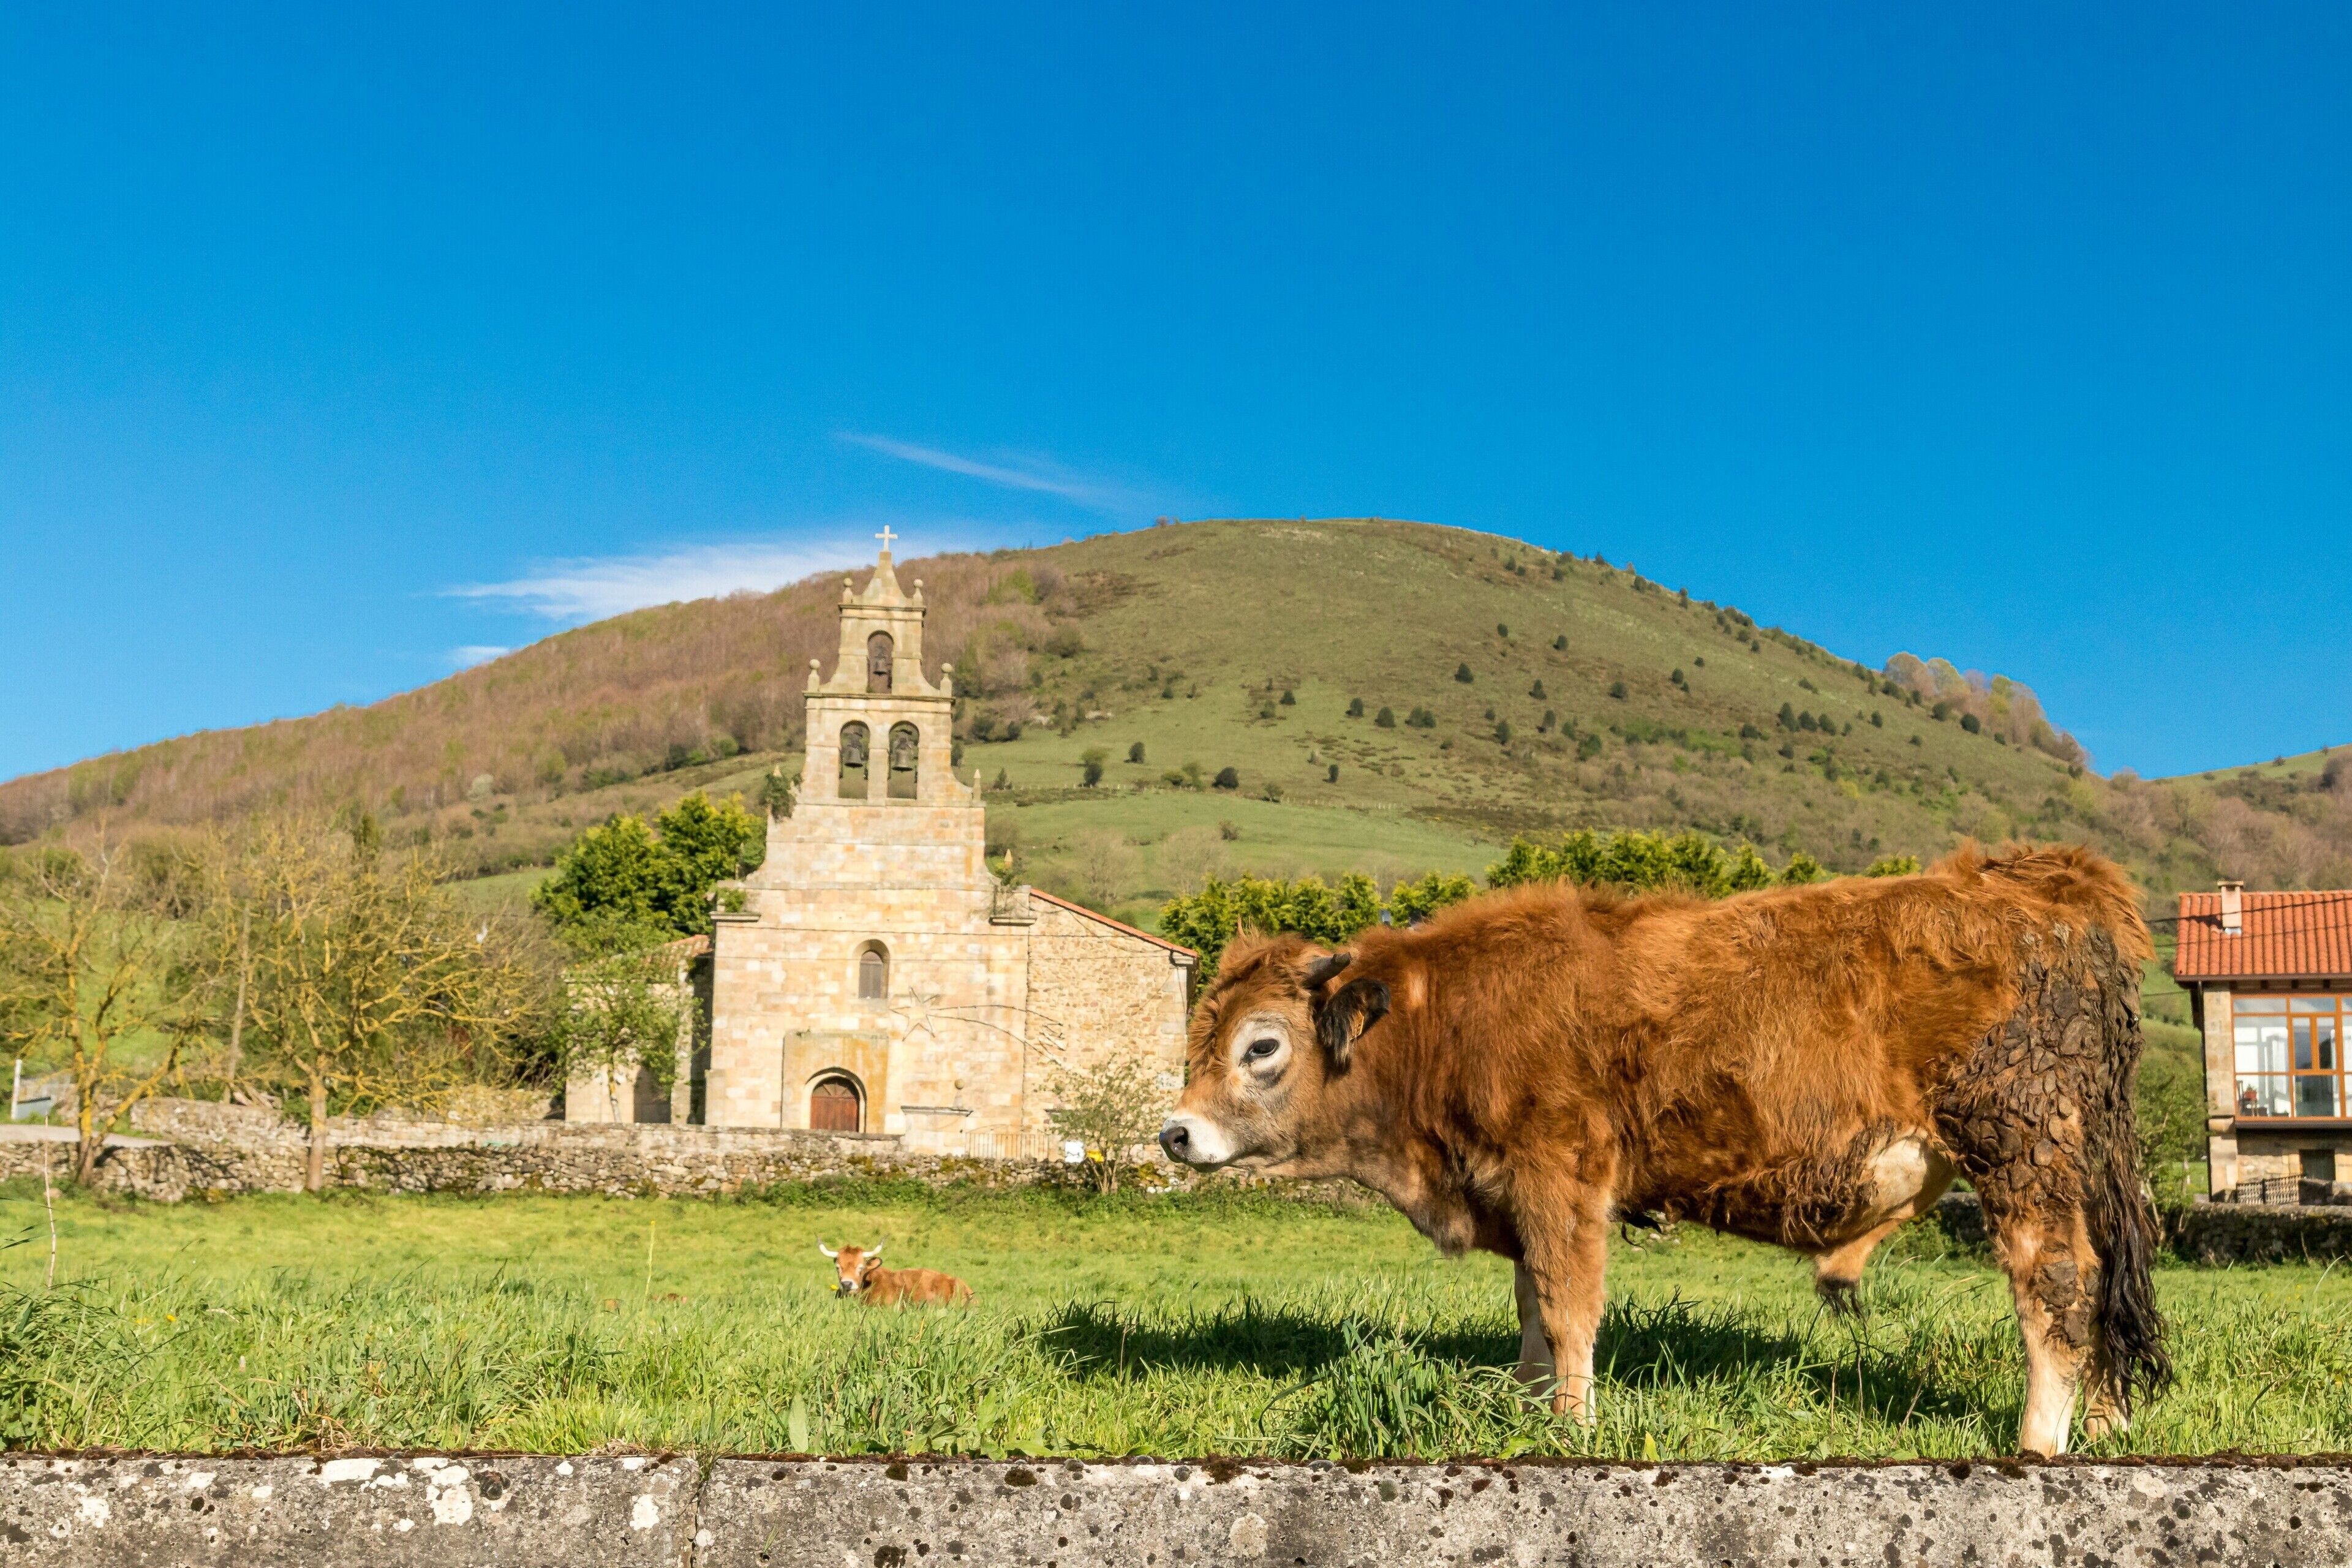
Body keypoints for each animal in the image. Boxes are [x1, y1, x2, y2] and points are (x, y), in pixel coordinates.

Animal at [1158, 844, 2170, 1456]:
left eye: (1260, 1046)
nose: (1176, 1132)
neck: (1443, 1019)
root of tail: (2042, 881)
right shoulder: (1517, 1193)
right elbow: (1532, 1310)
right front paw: (1527, 1408)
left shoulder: (1561, 1179)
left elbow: (1570, 1310)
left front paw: (1572, 1428)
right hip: (2081, 1169)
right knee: (2111, 1285)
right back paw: (2109, 1424)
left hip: (2024, 1157)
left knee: (2060, 1286)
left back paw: (2038, 1444)